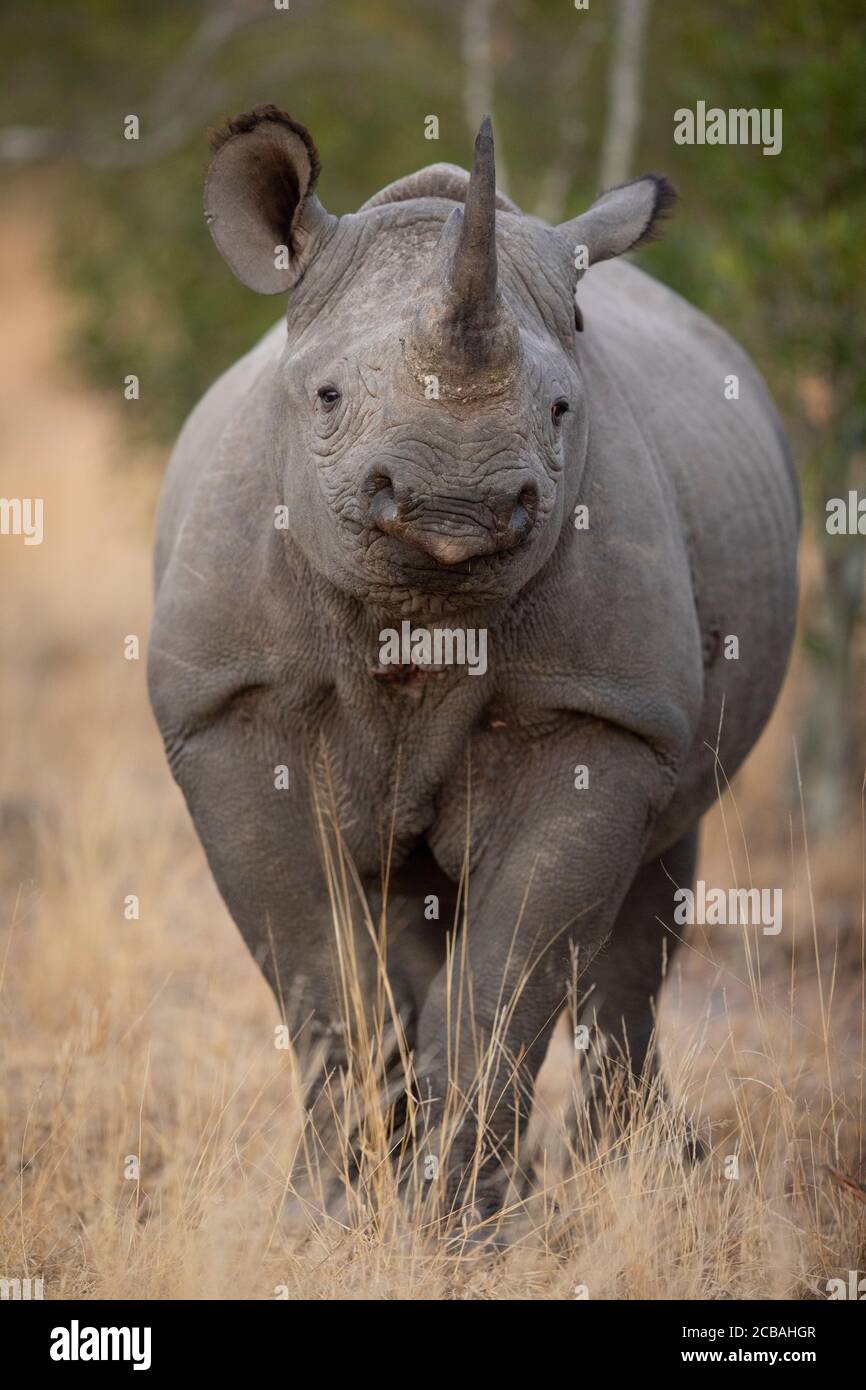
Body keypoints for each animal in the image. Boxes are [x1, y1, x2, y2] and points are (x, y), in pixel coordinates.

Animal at [148, 105, 800, 1217]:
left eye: (561, 410)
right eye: (326, 398)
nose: (454, 501)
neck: (421, 616)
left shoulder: (602, 715)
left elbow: (506, 986)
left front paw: (465, 1226)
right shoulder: (228, 705)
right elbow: (322, 976)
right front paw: (324, 1216)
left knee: (648, 897)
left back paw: (625, 1172)